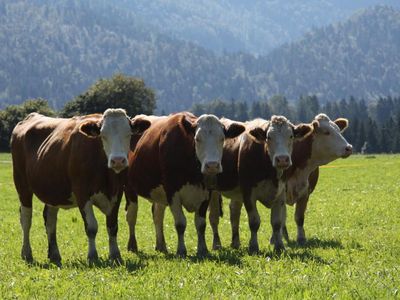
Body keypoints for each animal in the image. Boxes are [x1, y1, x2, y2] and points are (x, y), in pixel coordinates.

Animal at [12, 109, 151, 264]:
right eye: (103, 135)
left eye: (128, 134)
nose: (118, 160)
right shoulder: (81, 192)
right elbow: (91, 227)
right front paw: (92, 256)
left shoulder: (117, 192)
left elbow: (112, 225)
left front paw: (115, 255)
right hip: (22, 184)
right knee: (26, 218)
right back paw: (26, 253)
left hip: (53, 191)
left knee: (50, 220)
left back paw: (54, 254)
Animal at [125, 111, 245, 256]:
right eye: (197, 139)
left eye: (222, 139)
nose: (212, 166)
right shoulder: (172, 192)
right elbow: (180, 223)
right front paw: (181, 250)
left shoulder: (206, 193)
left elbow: (201, 224)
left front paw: (202, 249)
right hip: (129, 188)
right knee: (132, 215)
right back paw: (132, 245)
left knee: (158, 215)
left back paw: (161, 245)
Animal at [209, 116, 312, 252]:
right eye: (269, 137)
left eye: (291, 136)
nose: (282, 159)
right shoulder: (248, 193)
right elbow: (254, 222)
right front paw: (253, 246)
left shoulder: (280, 193)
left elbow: (277, 222)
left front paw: (279, 246)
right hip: (213, 191)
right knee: (214, 217)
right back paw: (216, 244)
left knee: (234, 214)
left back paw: (235, 243)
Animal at [282, 113, 354, 245]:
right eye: (326, 132)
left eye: (338, 130)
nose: (349, 148)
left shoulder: (305, 193)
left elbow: (299, 217)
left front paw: (301, 238)